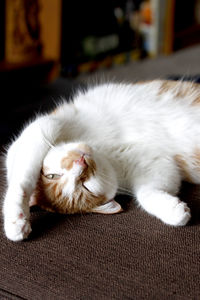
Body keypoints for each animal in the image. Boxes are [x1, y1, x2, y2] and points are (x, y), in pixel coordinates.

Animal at [3, 79, 200, 241]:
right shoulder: (157, 166)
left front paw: (15, 220)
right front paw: (174, 211)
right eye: (85, 186)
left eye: (52, 176)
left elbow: (21, 178)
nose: (81, 164)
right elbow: (146, 192)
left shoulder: (45, 125)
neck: (105, 152)